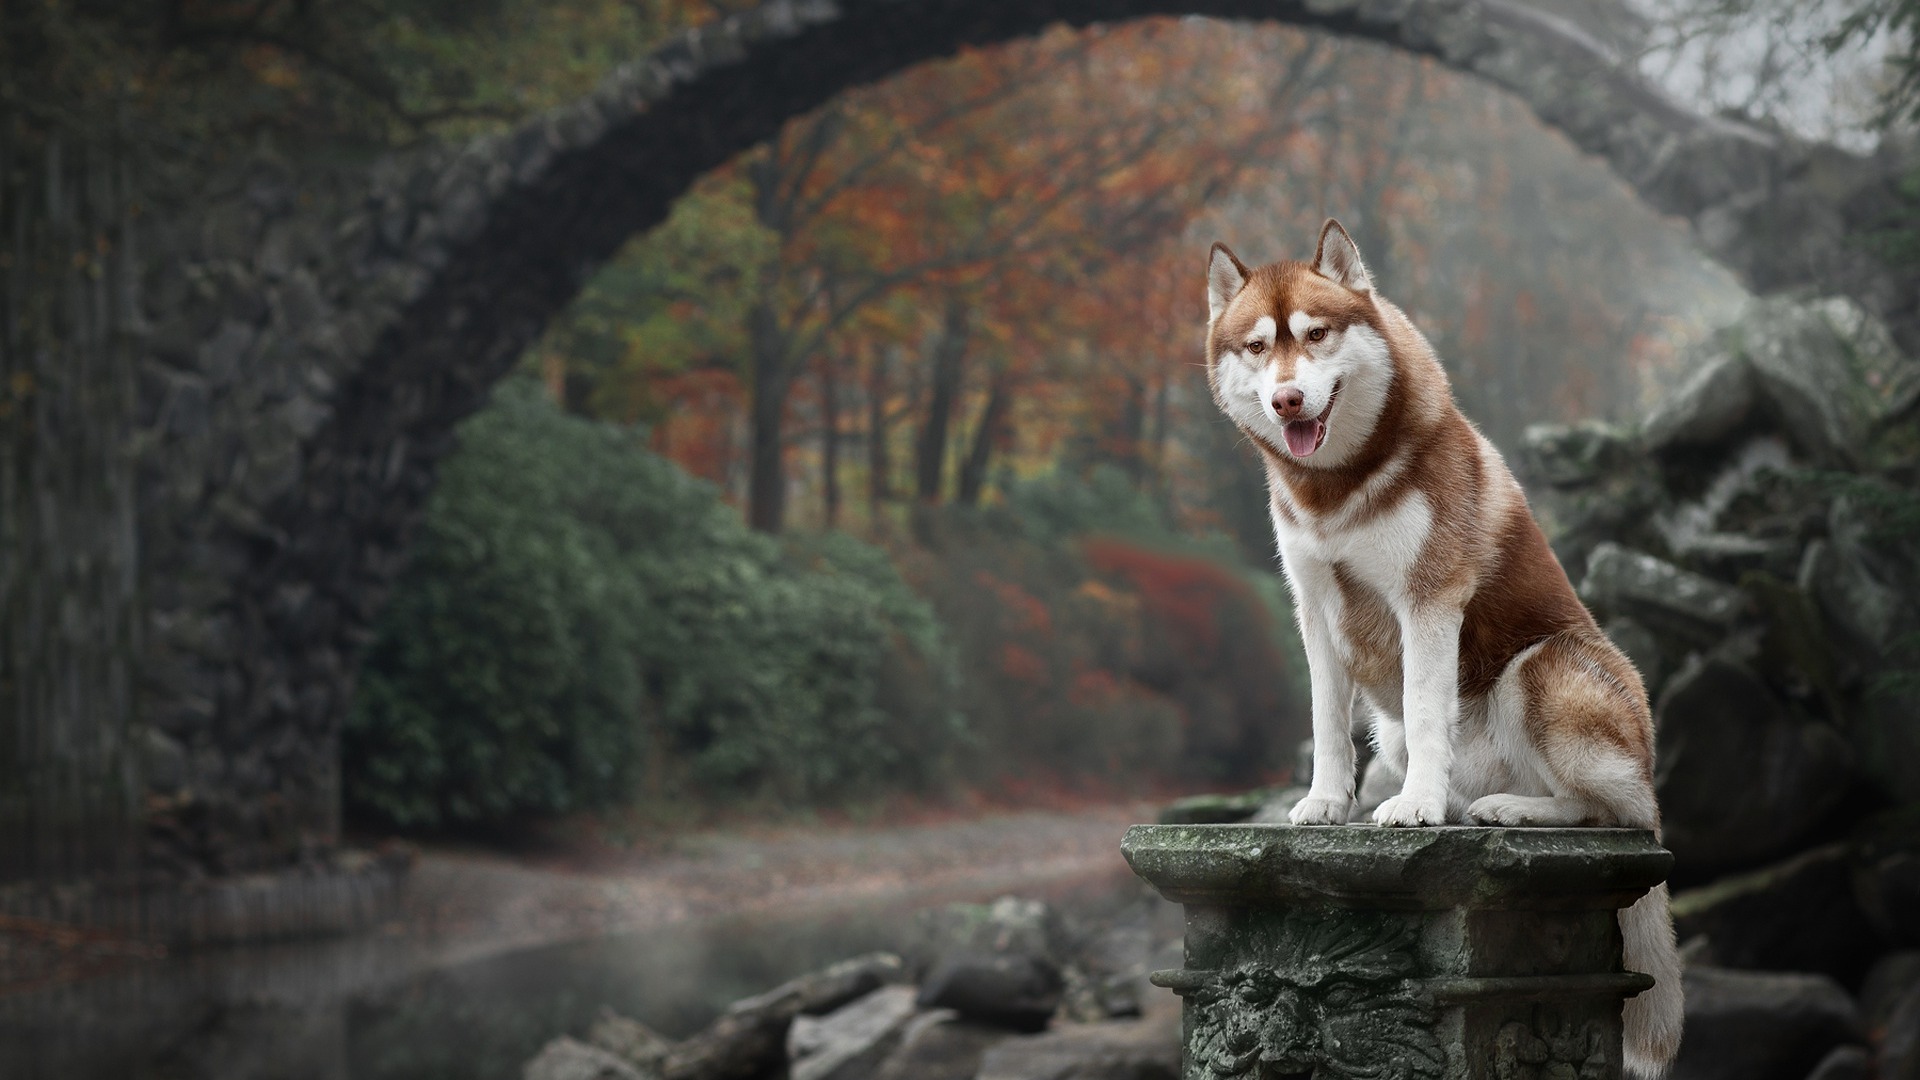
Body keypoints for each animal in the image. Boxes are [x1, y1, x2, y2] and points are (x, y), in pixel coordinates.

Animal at [1213, 220, 1681, 1076]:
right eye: (1259, 347)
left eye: (1316, 335)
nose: (1288, 398)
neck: (1335, 489)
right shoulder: (1313, 610)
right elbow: (1326, 722)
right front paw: (1327, 802)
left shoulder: (1429, 602)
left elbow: (1430, 710)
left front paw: (1419, 807)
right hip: (1391, 733)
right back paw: (1469, 805)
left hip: (1543, 671)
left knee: (1615, 815)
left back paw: (1508, 809)